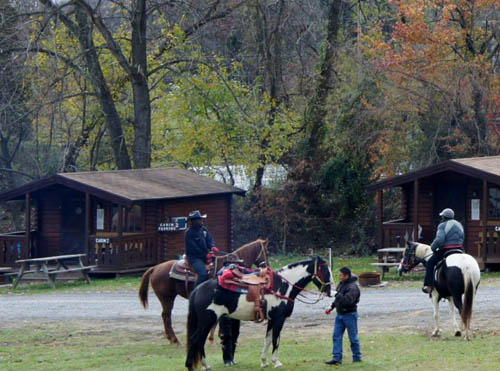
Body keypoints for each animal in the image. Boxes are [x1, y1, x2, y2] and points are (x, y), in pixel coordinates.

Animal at [137, 238, 270, 346]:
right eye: (266, 252)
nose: (267, 266)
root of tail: (155, 268)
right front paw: (213, 338)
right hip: (167, 298)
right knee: (166, 315)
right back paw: (175, 340)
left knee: (165, 315)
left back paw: (171, 339)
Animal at [185, 258, 332, 370]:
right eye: (325, 270)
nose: (330, 290)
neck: (282, 286)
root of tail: (197, 289)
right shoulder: (279, 319)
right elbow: (276, 340)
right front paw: (276, 362)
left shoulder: (272, 320)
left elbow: (267, 340)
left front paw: (264, 362)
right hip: (207, 321)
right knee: (195, 340)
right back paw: (191, 366)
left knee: (199, 341)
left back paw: (205, 365)